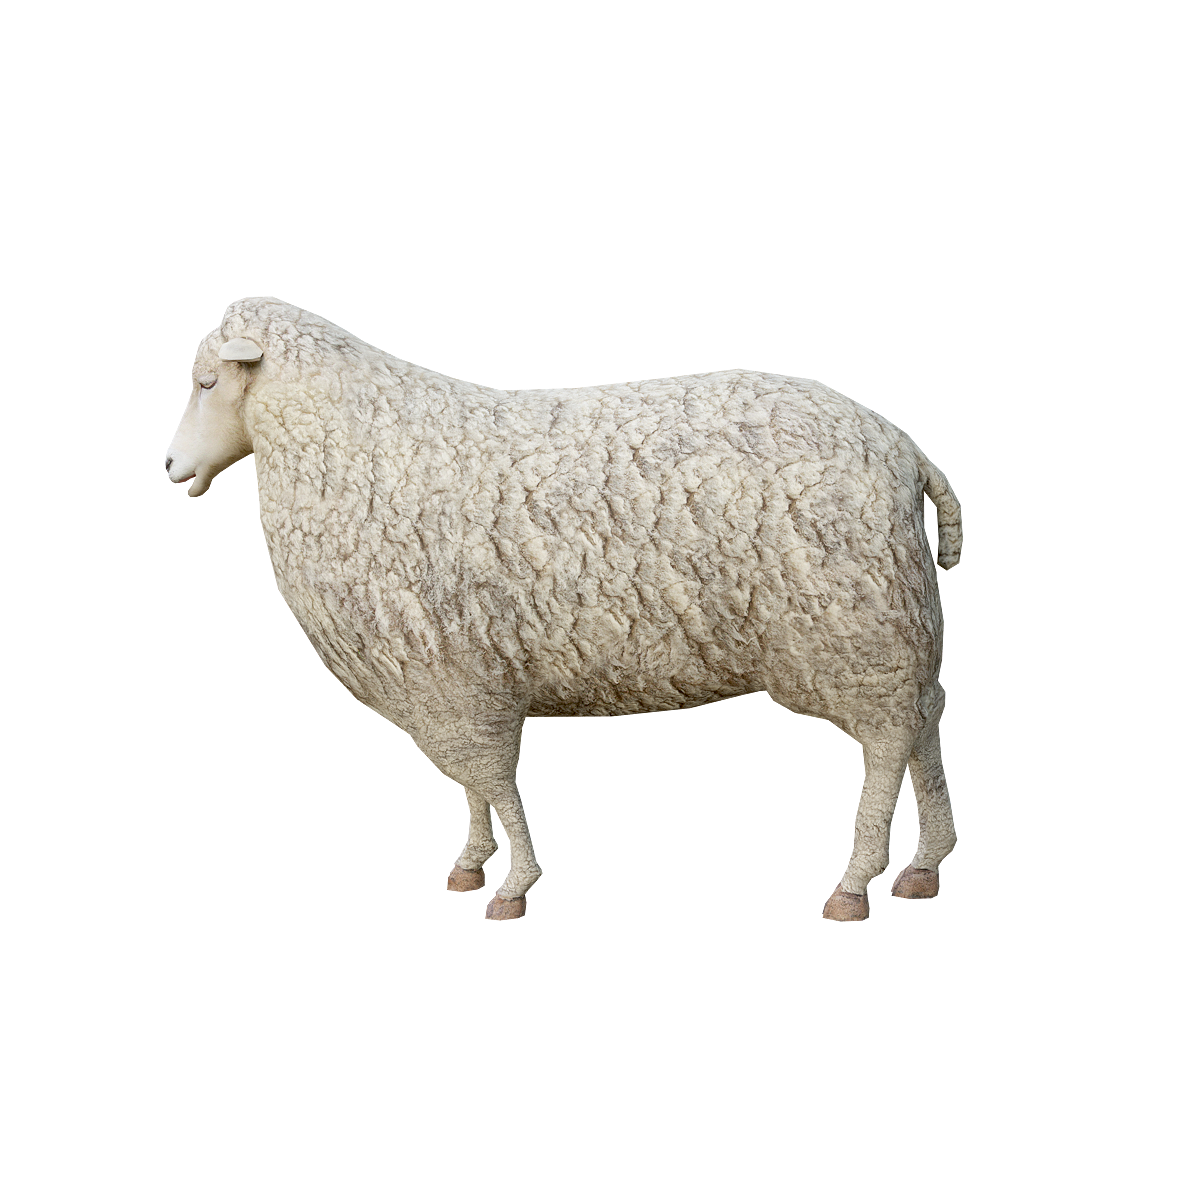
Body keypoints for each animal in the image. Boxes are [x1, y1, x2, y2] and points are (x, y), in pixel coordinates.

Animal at [166, 298, 962, 922]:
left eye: (206, 381)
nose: (172, 475)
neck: (359, 446)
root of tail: (905, 454)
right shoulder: (444, 674)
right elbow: (471, 783)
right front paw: (472, 862)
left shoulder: (457, 676)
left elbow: (490, 777)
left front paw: (512, 883)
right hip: (891, 633)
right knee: (922, 734)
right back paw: (922, 865)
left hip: (853, 630)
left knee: (889, 747)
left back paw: (856, 880)